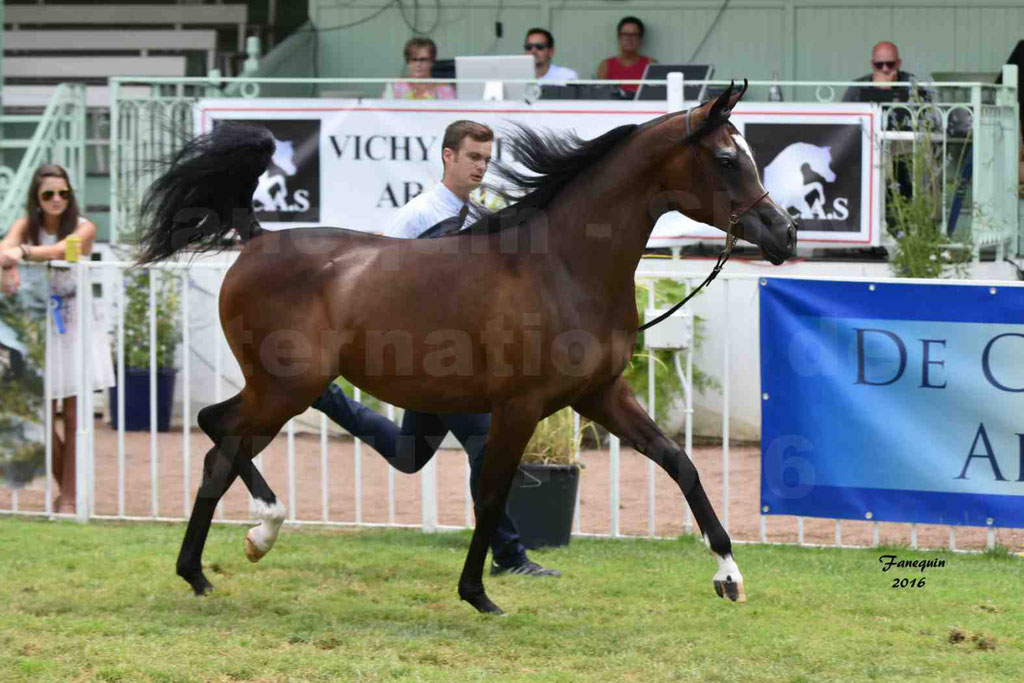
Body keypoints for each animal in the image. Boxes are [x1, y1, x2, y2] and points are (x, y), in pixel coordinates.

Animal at [136, 80, 794, 614]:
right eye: (727, 158)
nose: (784, 233)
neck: (562, 265)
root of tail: (255, 239)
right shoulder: (521, 407)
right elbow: (494, 492)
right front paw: (478, 595)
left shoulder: (601, 395)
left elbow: (679, 462)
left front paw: (729, 577)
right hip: (282, 388)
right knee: (218, 430)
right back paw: (256, 534)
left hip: (282, 391)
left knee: (220, 445)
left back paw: (204, 569)